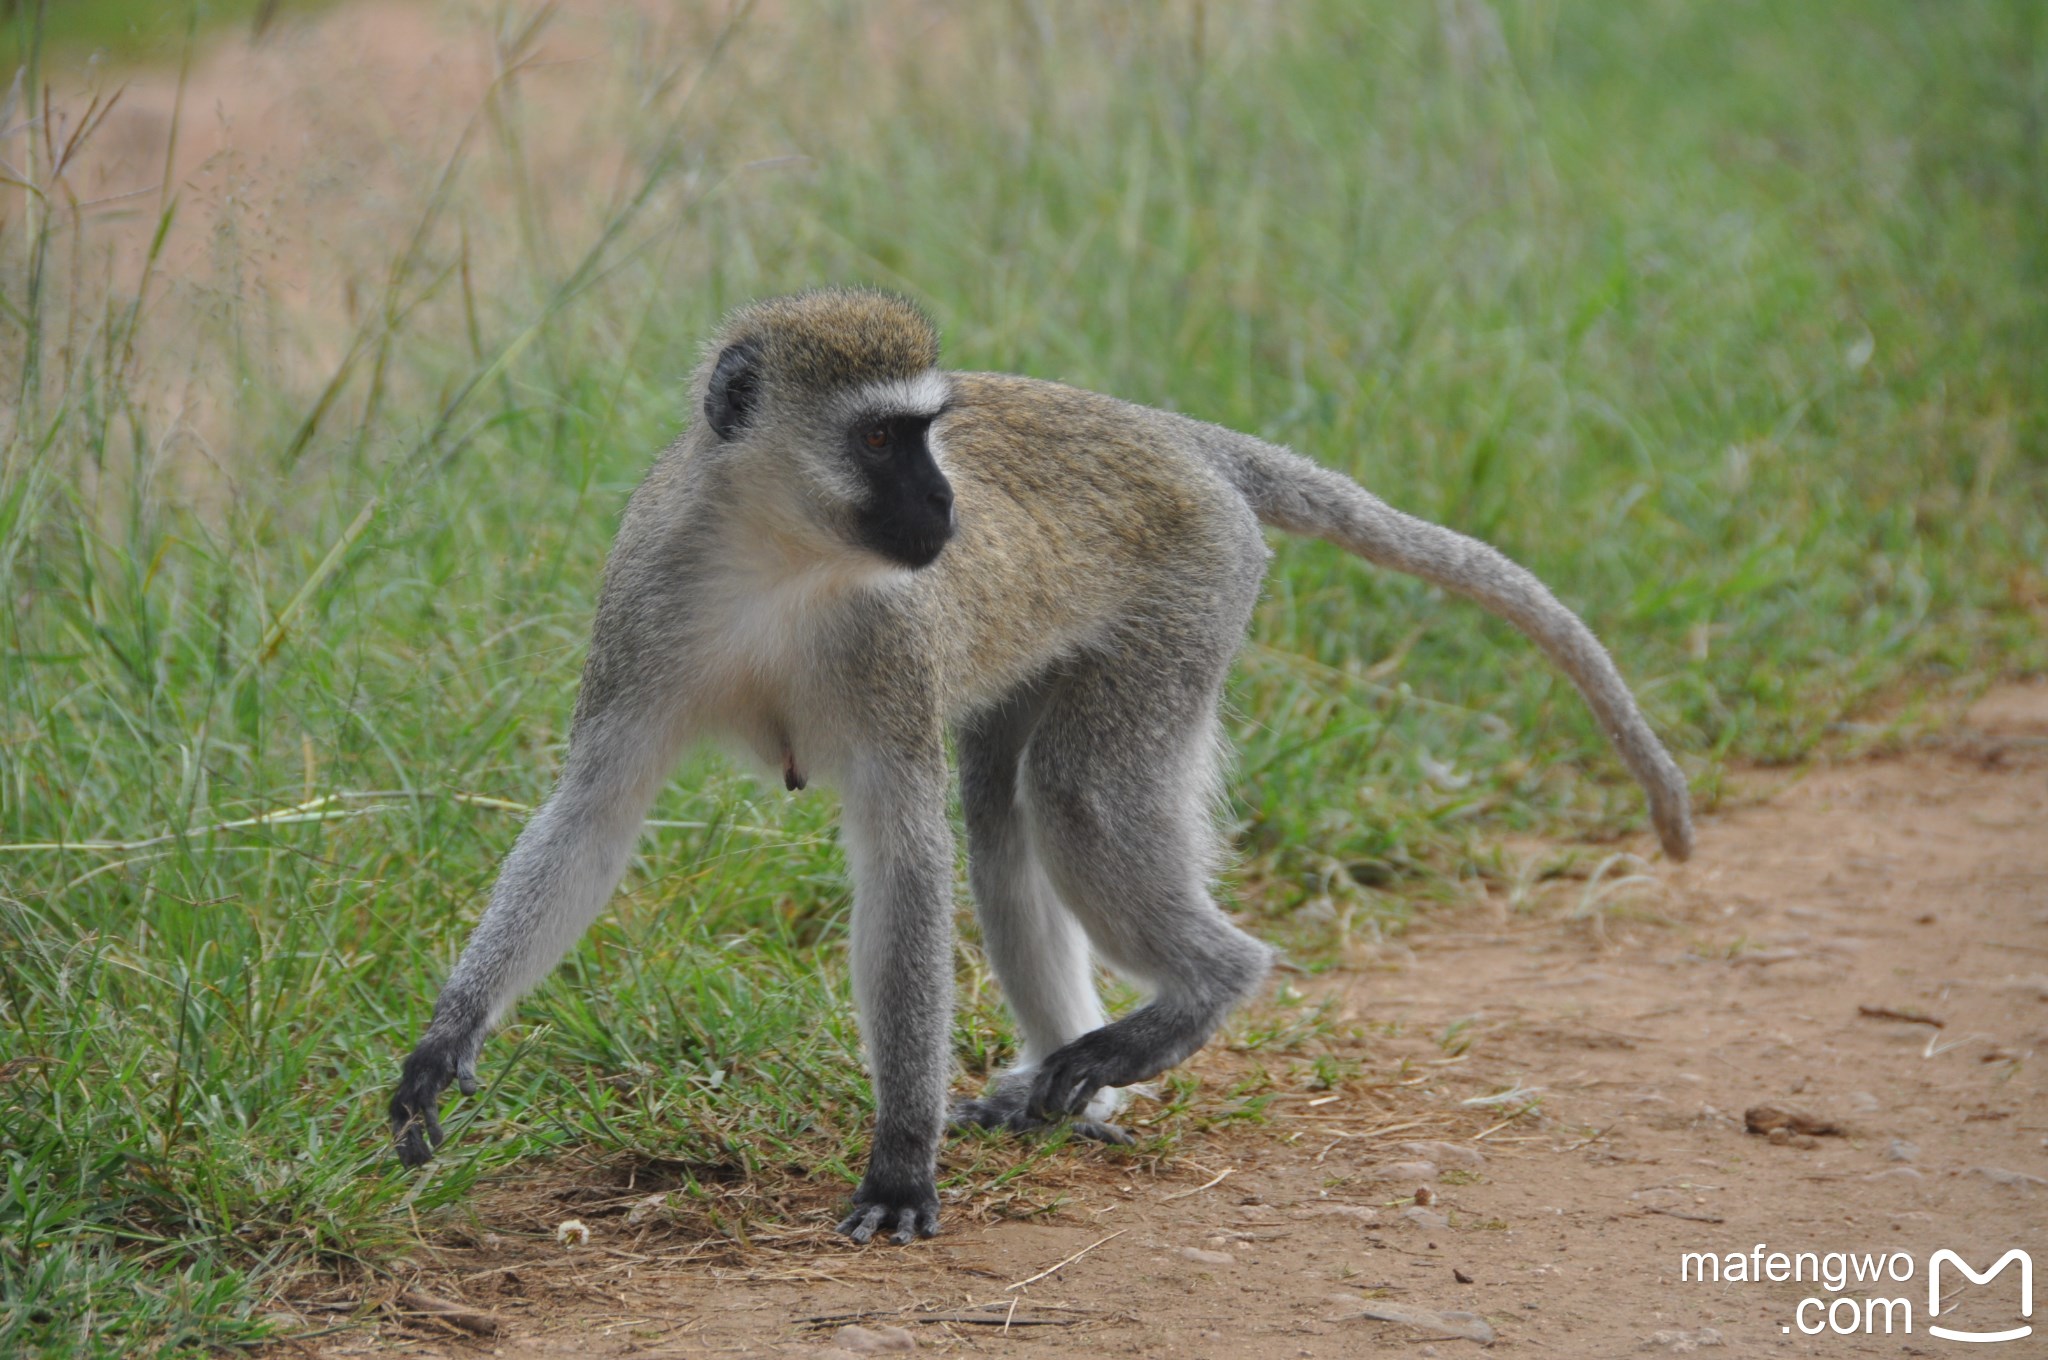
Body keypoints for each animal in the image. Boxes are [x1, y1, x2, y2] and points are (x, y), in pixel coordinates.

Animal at [387, 286, 1695, 1245]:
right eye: (880, 436)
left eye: (927, 432)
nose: (946, 505)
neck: (776, 557)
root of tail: (1165, 430)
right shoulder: (645, 607)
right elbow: (592, 817)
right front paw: (448, 1036)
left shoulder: (888, 647)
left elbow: (903, 862)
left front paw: (900, 1158)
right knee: (1000, 813)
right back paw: (1069, 1093)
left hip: (1187, 599)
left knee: (1074, 800)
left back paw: (1195, 994)